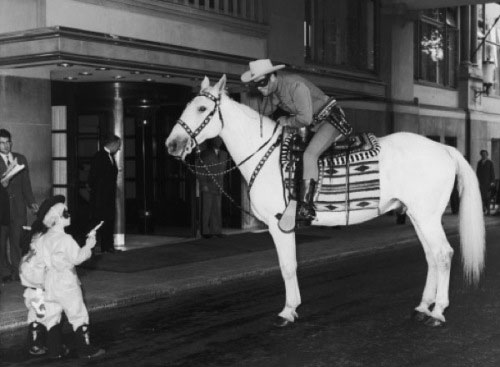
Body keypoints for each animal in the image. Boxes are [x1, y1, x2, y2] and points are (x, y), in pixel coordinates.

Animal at [167, 75, 484, 328]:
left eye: (202, 108)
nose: (172, 144)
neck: (266, 155)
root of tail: (443, 149)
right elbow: (290, 265)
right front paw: (293, 307)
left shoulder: (278, 224)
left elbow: (287, 266)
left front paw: (287, 311)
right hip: (419, 216)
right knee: (431, 256)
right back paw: (422, 307)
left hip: (427, 217)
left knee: (443, 254)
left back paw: (438, 312)